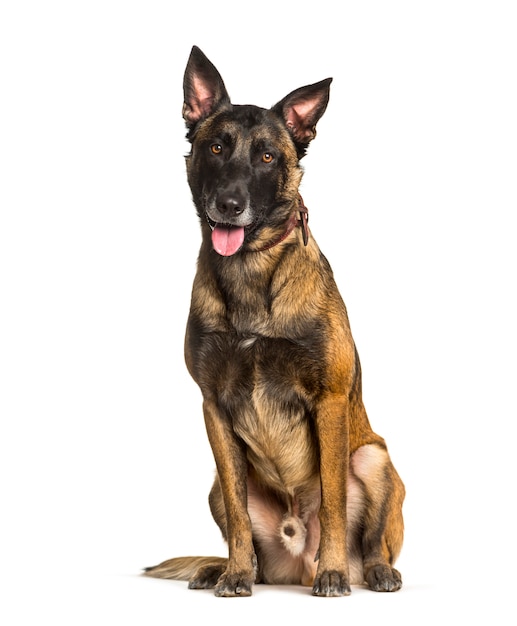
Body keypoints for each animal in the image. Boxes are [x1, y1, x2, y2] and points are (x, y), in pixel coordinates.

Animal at [143, 45, 406, 596]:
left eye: (267, 157)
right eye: (216, 148)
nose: (230, 205)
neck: (251, 270)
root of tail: (295, 561)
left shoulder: (329, 402)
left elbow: (332, 501)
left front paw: (333, 572)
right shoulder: (214, 410)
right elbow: (239, 513)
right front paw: (236, 574)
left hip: (375, 458)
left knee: (374, 540)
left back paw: (370, 570)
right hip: (216, 486)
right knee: (242, 530)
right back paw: (222, 568)